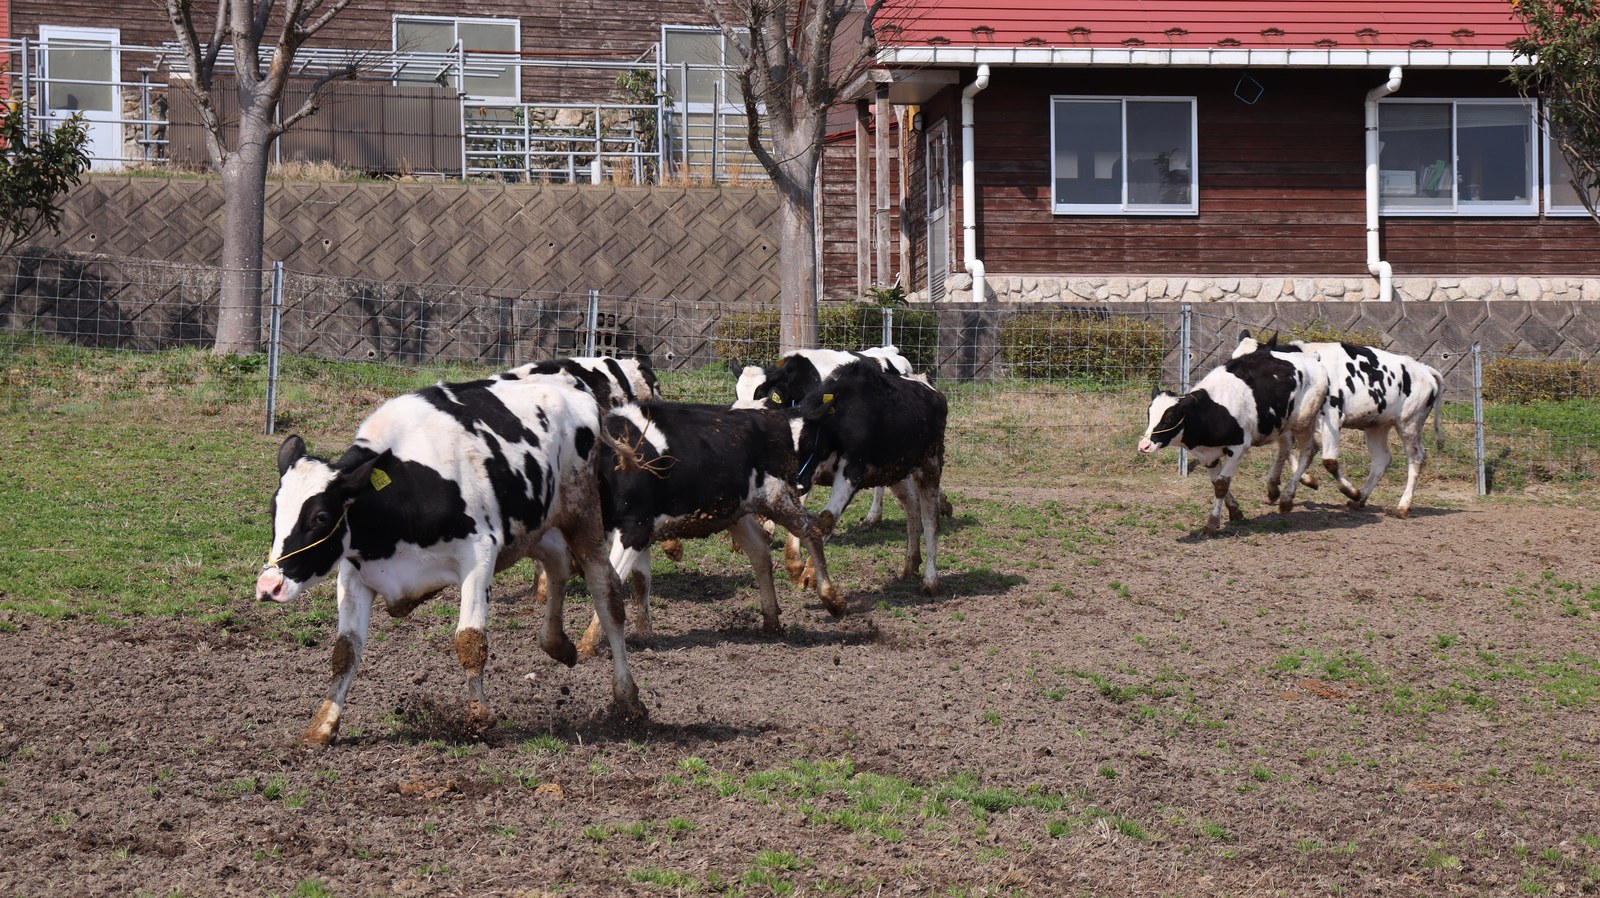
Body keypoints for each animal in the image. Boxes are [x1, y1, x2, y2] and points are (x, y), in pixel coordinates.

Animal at [255, 373, 644, 745]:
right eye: (274, 510)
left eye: (320, 517)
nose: (268, 585)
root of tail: (576, 393)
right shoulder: (355, 575)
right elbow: (345, 652)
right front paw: (322, 726)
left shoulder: (480, 554)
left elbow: (469, 640)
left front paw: (479, 718)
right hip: (539, 527)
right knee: (558, 567)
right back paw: (557, 643)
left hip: (583, 518)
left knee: (606, 595)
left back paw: (629, 700)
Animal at [569, 400, 843, 655]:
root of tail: (775, 416)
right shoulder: (634, 534)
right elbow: (641, 580)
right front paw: (643, 635)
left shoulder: (634, 530)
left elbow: (611, 585)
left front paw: (586, 644)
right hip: (735, 511)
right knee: (759, 549)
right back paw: (771, 620)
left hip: (779, 498)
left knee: (811, 529)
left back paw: (831, 598)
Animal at [792, 359, 949, 595]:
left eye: (805, 440)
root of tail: (930, 387)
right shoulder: (808, 475)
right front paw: (792, 560)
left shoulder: (851, 474)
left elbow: (827, 518)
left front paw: (811, 572)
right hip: (895, 472)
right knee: (912, 507)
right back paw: (910, 564)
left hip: (929, 467)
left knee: (931, 521)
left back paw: (930, 581)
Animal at [1139, 345, 1329, 536]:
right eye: (1149, 413)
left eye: (1170, 417)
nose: (1144, 445)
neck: (1210, 411)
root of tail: (1311, 357)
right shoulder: (1208, 456)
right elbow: (1216, 483)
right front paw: (1235, 512)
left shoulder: (1238, 448)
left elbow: (1222, 485)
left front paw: (1212, 524)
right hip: (1281, 423)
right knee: (1286, 448)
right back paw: (1275, 488)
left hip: (1303, 421)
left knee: (1309, 450)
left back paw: (1287, 499)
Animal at [1233, 332, 1442, 517]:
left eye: (1255, 361)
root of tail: (1424, 369)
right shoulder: (1290, 421)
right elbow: (1286, 450)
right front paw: (1279, 486)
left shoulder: (1331, 418)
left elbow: (1329, 460)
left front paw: (1346, 489)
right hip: (1377, 426)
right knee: (1381, 459)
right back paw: (1359, 500)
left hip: (1409, 423)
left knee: (1416, 459)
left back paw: (1402, 506)